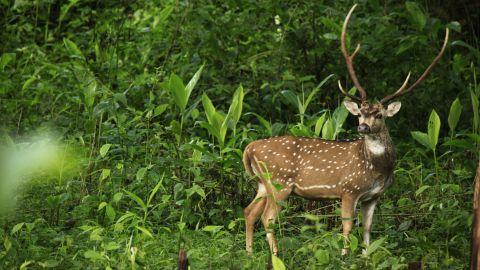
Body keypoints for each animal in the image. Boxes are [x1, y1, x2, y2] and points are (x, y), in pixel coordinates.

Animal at [244, 5, 450, 256]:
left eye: (379, 115)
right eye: (360, 113)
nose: (362, 126)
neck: (376, 170)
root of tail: (250, 147)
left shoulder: (373, 196)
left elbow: (368, 228)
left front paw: (366, 256)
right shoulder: (348, 188)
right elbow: (348, 226)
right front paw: (344, 256)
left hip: (262, 184)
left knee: (249, 212)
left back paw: (249, 253)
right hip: (279, 182)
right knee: (268, 218)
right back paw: (275, 256)